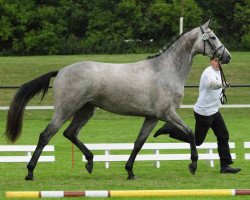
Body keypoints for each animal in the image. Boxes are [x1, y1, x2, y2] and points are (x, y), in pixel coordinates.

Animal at [4, 21, 230, 180]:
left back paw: (90, 162)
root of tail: (60, 71)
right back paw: (30, 172)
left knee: (70, 133)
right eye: (213, 37)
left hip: (86, 110)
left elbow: (139, 143)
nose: (227, 56)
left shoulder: (152, 117)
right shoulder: (167, 113)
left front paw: (130, 171)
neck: (165, 70)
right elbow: (190, 133)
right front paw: (193, 164)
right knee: (46, 136)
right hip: (65, 110)